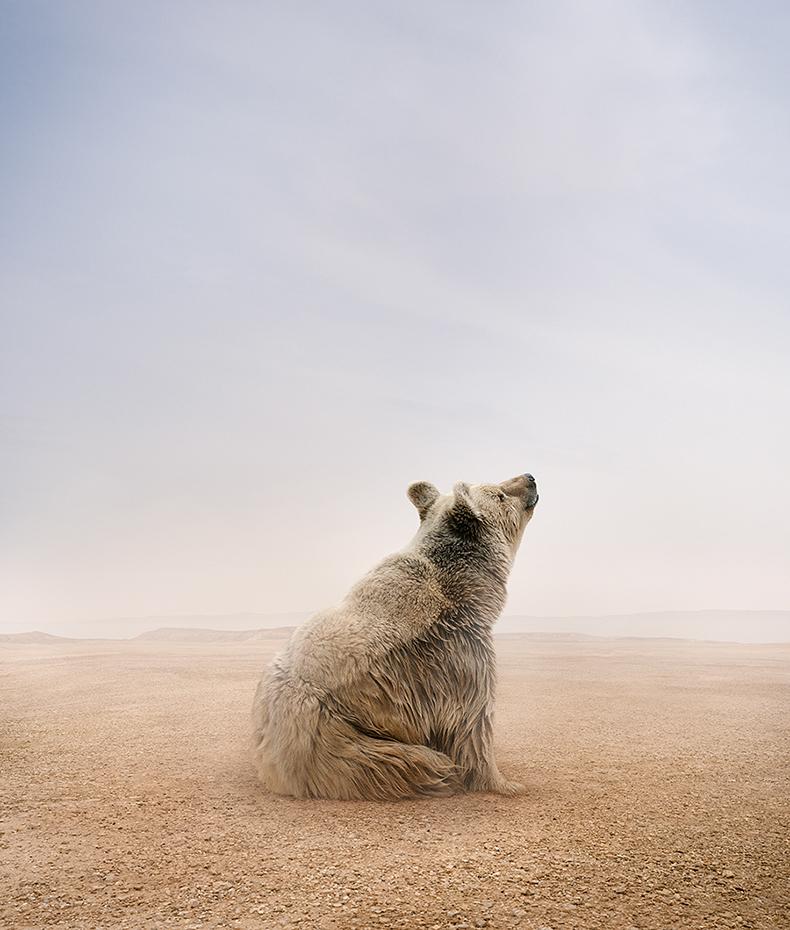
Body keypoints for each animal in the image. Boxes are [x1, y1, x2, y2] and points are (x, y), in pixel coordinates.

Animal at [250, 472, 539, 800]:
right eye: (500, 494)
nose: (530, 477)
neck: (464, 588)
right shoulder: (455, 652)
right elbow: (471, 722)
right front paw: (505, 783)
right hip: (325, 734)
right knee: (398, 762)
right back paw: (438, 773)